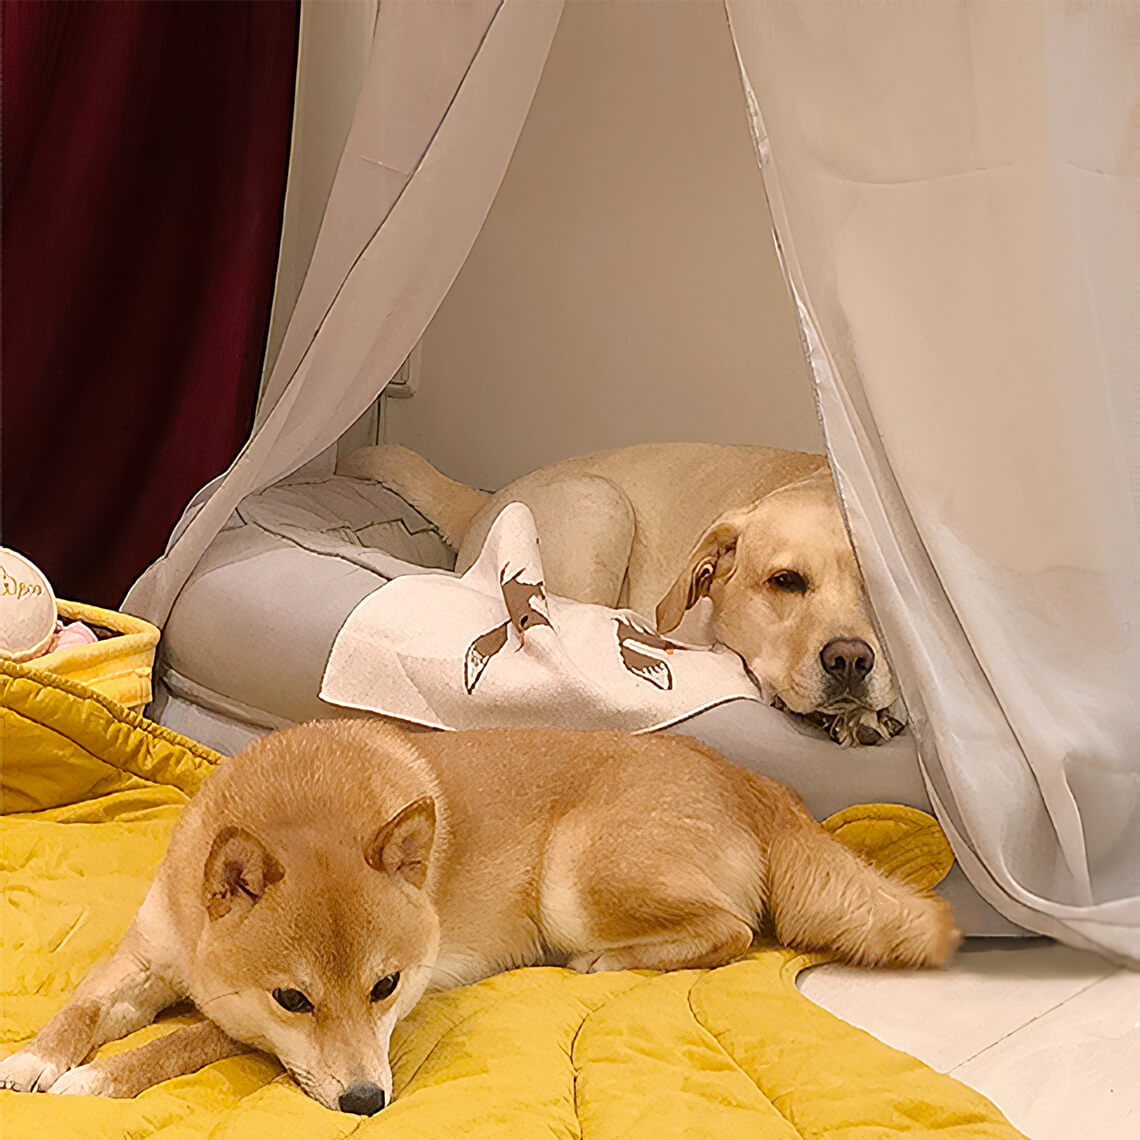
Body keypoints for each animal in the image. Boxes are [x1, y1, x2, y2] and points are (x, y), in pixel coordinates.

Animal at [0, 720, 957, 1112]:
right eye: (294, 999)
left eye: (387, 987)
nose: (366, 1102)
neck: (301, 805)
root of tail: (752, 779)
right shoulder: (145, 957)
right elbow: (82, 1008)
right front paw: (37, 1059)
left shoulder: (231, 1028)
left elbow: (175, 1043)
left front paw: (97, 1080)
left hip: (575, 881)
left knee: (730, 931)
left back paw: (608, 965)